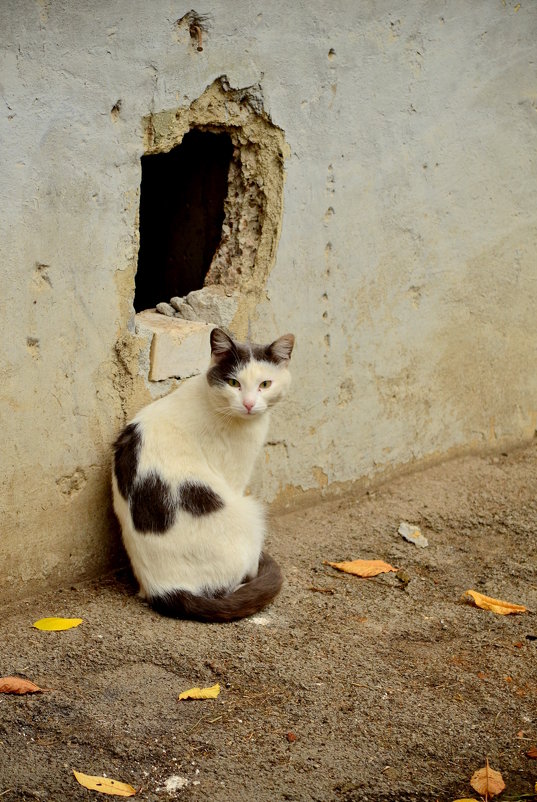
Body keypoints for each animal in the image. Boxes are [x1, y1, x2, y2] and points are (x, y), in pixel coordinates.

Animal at [110, 324, 294, 620]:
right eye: (234, 383)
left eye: (265, 384)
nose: (249, 404)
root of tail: (163, 589)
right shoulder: (234, 474)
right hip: (249, 512)